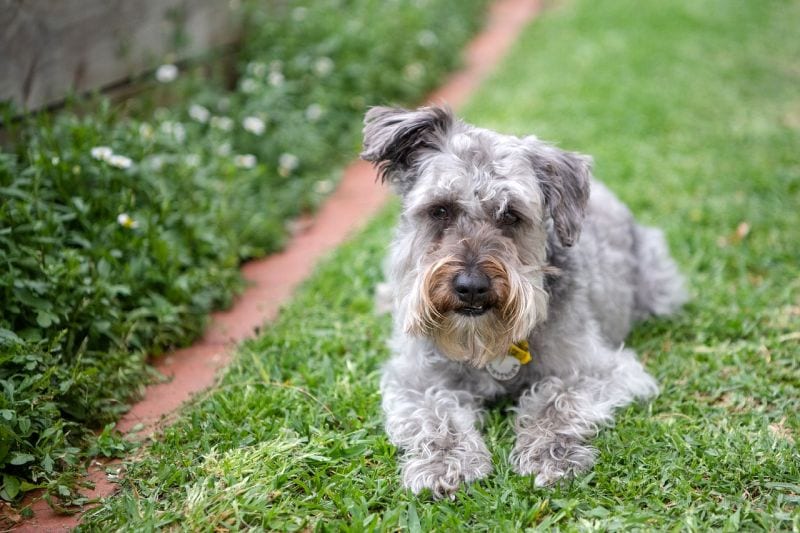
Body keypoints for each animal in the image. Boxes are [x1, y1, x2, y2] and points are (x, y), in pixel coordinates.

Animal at [362, 105, 688, 498]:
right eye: (440, 210)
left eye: (510, 215)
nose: (471, 286)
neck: (486, 346)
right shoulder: (414, 379)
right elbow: (435, 414)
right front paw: (445, 463)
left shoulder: (597, 368)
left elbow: (554, 399)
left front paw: (550, 454)